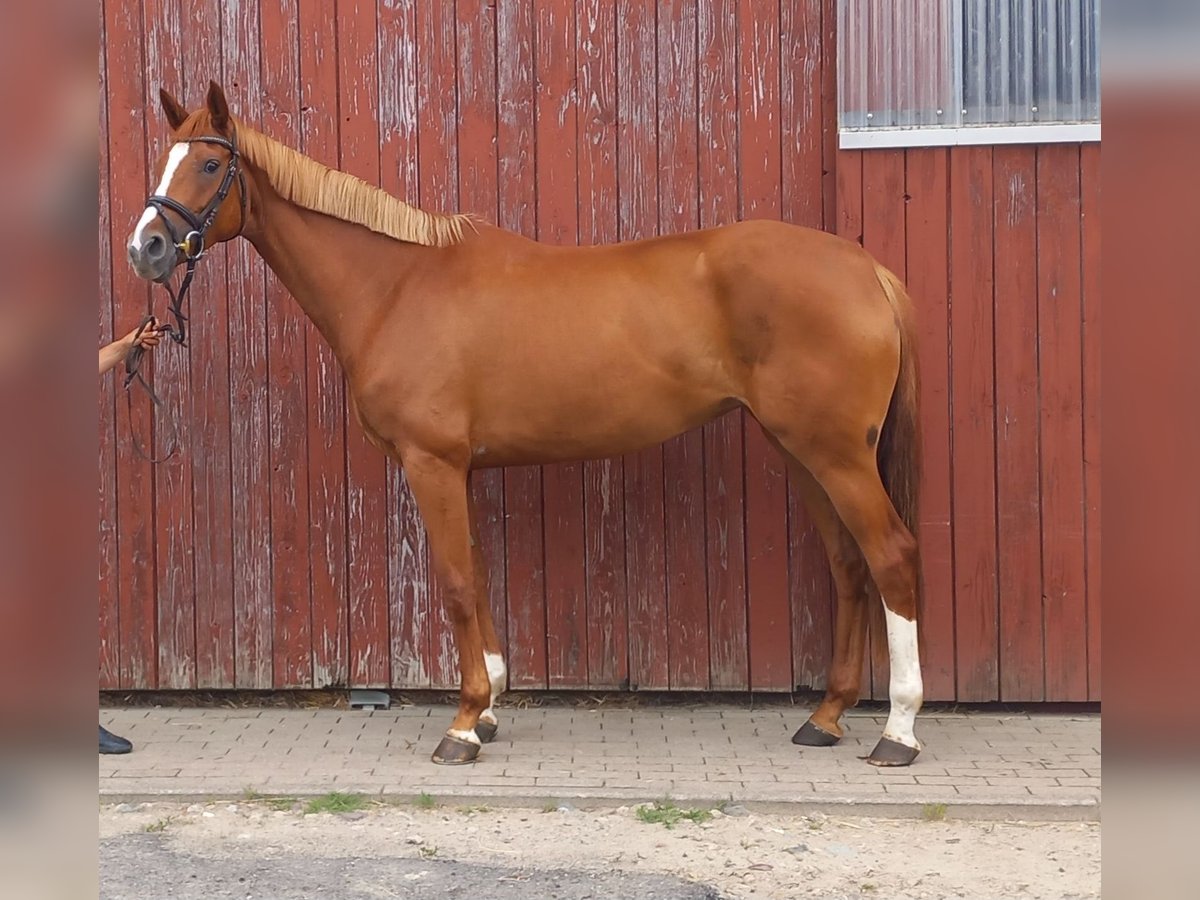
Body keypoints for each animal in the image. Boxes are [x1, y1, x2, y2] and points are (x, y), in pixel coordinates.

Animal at [124, 82, 926, 768]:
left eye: (208, 163)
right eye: (162, 161)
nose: (146, 249)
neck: (397, 286)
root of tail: (867, 271)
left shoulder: (432, 462)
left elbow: (454, 584)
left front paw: (461, 726)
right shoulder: (461, 468)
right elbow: (477, 577)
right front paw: (487, 710)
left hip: (835, 455)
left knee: (889, 556)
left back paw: (898, 732)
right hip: (802, 451)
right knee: (849, 566)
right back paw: (825, 718)